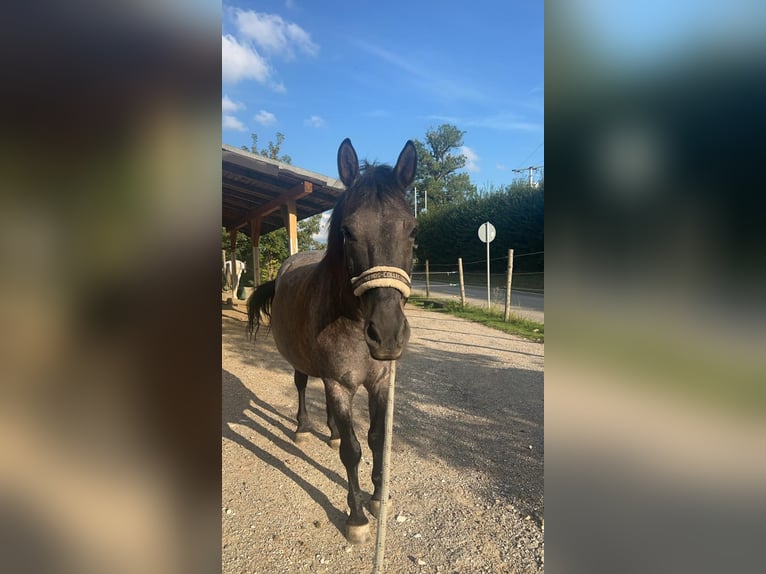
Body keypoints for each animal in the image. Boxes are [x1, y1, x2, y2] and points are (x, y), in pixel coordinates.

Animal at [249, 138, 420, 544]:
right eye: (347, 231)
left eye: (413, 231)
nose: (387, 335)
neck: (353, 321)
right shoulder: (339, 384)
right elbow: (354, 451)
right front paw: (356, 516)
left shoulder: (379, 383)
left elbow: (376, 439)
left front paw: (378, 496)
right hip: (302, 363)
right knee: (300, 384)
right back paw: (302, 428)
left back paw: (331, 432)